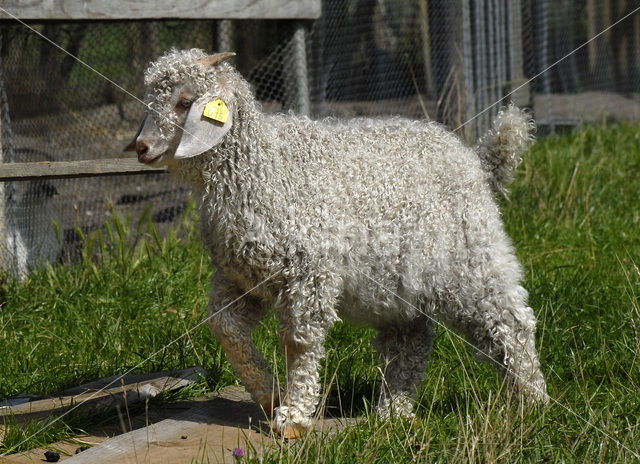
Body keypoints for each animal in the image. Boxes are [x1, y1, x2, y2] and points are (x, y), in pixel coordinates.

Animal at [126, 49, 552, 438]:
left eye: (185, 102)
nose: (142, 147)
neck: (265, 169)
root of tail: (475, 160)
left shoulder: (309, 276)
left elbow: (299, 343)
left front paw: (293, 416)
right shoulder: (243, 277)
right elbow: (224, 325)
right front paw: (268, 393)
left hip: (471, 259)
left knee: (512, 321)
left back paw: (532, 402)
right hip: (400, 283)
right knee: (409, 340)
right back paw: (393, 412)